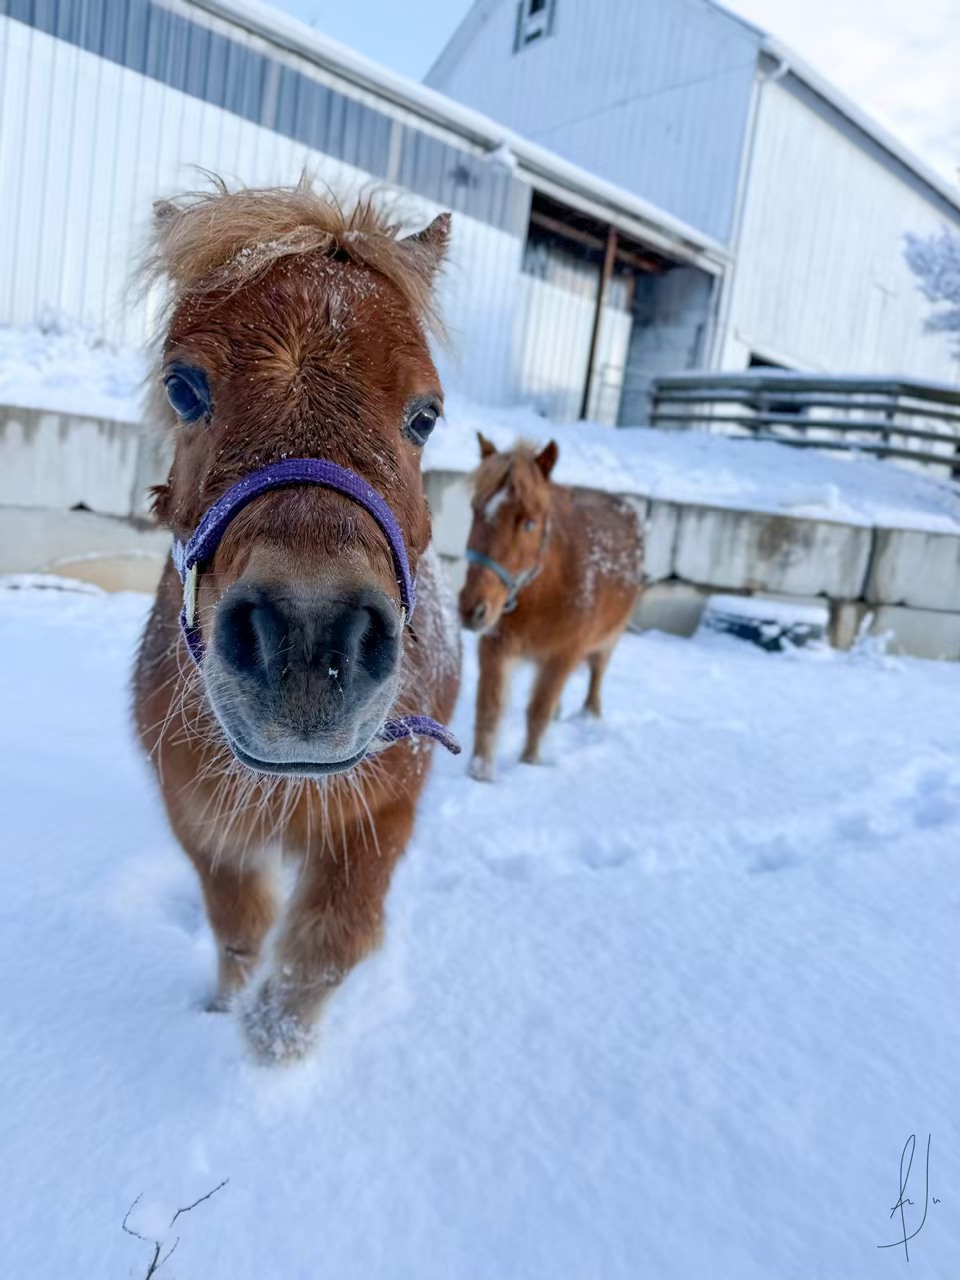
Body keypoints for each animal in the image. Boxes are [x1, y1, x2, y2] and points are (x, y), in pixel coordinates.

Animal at [133, 181, 461, 1061]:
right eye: (184, 387)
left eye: (425, 414)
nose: (312, 644)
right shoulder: (204, 822)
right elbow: (240, 929)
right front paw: (229, 1013)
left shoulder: (378, 819)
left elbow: (329, 945)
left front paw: (275, 1044)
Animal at [458, 434, 643, 781]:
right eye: (475, 510)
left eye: (529, 523)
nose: (472, 609)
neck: (543, 594)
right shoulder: (495, 646)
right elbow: (489, 709)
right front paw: (481, 771)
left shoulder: (564, 652)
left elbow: (538, 711)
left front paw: (530, 762)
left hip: (610, 636)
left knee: (597, 672)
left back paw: (590, 714)